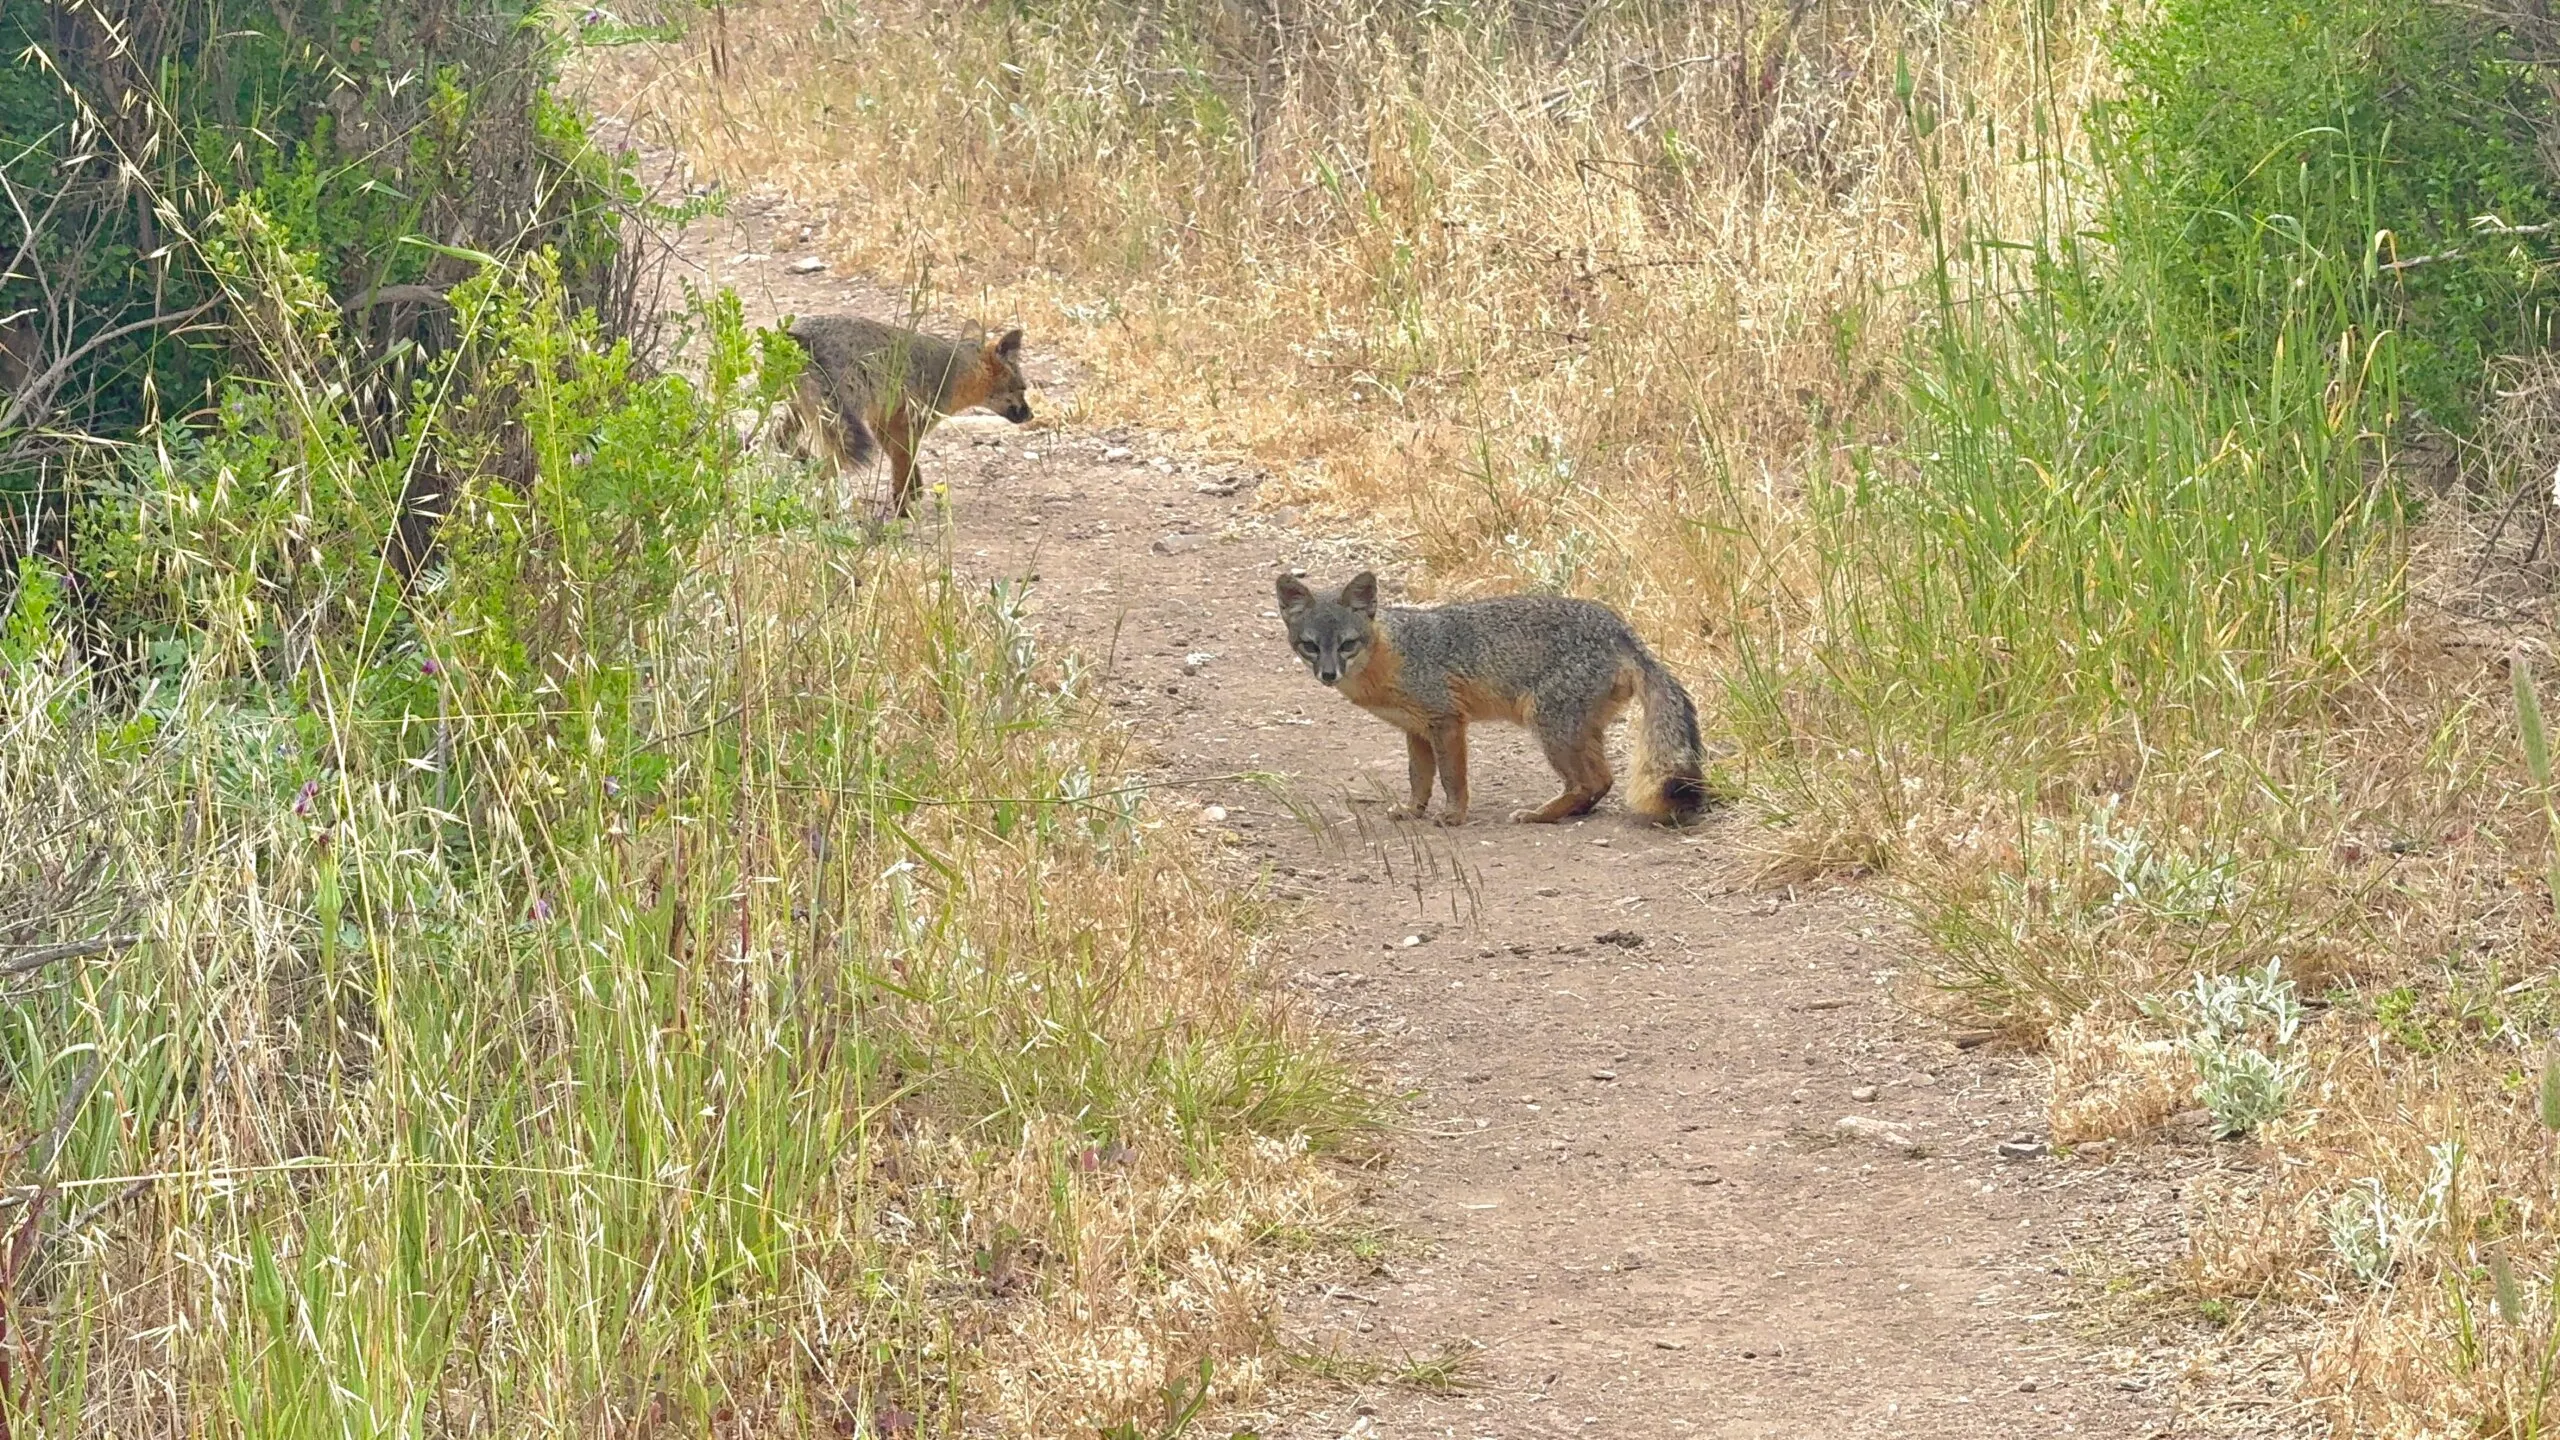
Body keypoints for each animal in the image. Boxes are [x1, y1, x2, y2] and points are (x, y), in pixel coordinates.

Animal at [776, 315, 1033, 516]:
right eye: (1022, 389)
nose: (1030, 415)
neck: (953, 371)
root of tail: (802, 335)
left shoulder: (884, 422)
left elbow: (904, 460)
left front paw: (916, 488)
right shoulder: (906, 423)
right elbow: (903, 466)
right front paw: (904, 509)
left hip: (806, 412)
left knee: (779, 438)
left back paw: (806, 462)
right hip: (838, 425)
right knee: (822, 469)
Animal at [1275, 571, 1711, 826]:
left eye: (1347, 644)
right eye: (1310, 646)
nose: (1328, 674)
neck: (1393, 653)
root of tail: (1622, 630)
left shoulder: (1447, 721)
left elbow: (1452, 778)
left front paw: (1453, 815)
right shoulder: (1416, 730)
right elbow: (1419, 779)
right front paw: (1413, 811)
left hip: (1549, 726)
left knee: (1589, 781)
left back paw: (1538, 815)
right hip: (1577, 729)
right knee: (1601, 781)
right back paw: (1567, 812)